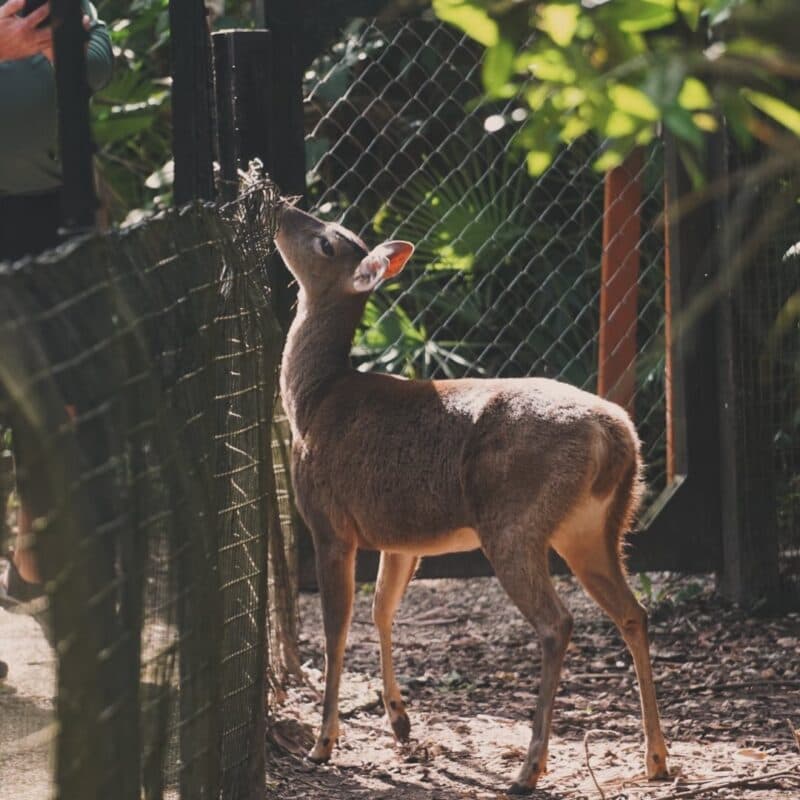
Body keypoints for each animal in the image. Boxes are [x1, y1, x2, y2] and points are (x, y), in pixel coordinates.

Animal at [275, 201, 669, 794]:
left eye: (326, 241)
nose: (279, 209)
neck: (313, 401)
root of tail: (615, 435)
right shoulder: (400, 535)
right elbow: (382, 608)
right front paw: (400, 722)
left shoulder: (329, 521)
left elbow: (337, 627)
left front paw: (324, 744)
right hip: (596, 526)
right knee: (633, 612)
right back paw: (656, 758)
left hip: (514, 522)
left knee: (557, 622)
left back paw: (530, 769)